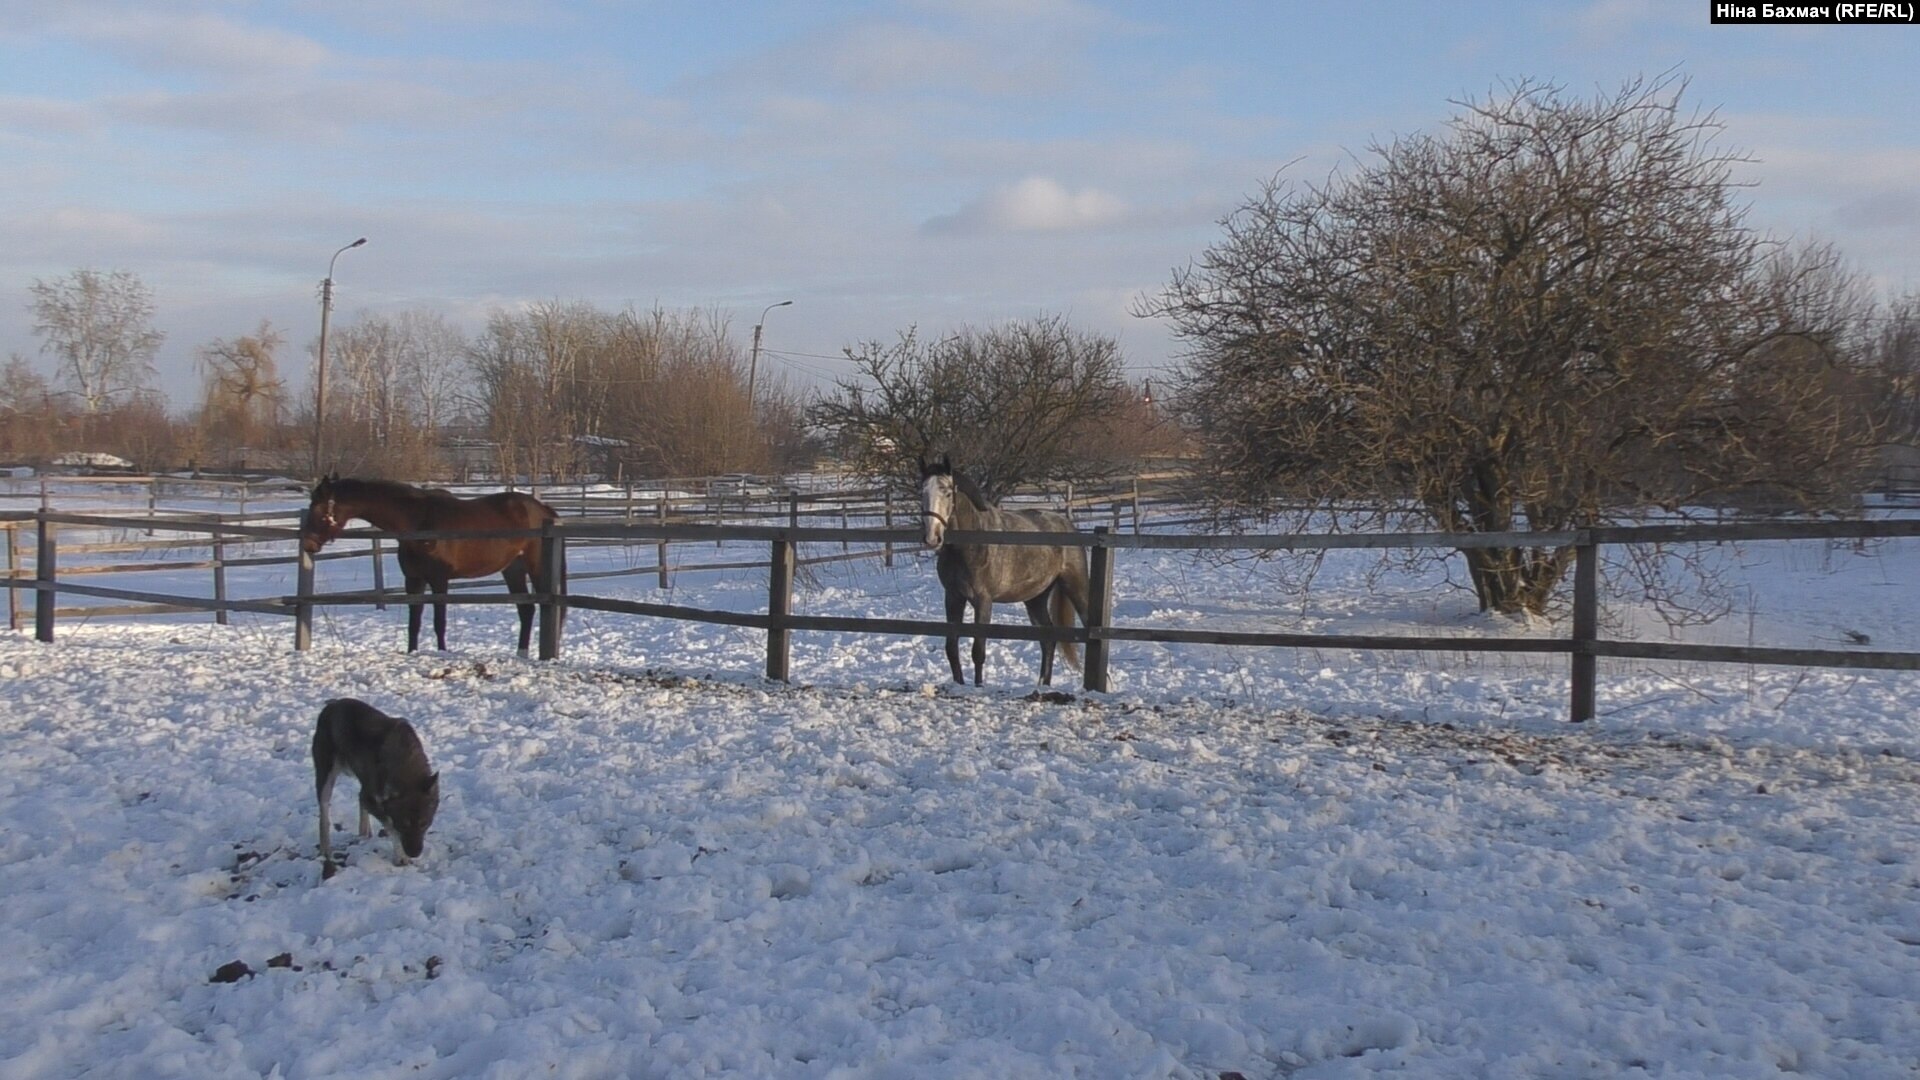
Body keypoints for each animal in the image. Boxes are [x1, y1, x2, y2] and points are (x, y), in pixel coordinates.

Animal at [295, 474, 560, 653]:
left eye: (317, 508)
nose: (307, 544)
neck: (418, 522)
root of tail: (541, 509)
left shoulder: (439, 580)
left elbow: (439, 623)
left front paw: (442, 653)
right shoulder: (414, 581)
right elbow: (414, 623)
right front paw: (412, 652)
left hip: (536, 568)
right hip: (513, 569)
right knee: (526, 610)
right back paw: (521, 653)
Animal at [311, 699, 439, 876]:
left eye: (424, 824)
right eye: (403, 825)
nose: (415, 853)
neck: (404, 762)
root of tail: (332, 704)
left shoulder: (371, 796)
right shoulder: (371, 798)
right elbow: (390, 826)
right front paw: (401, 857)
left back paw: (365, 834)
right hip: (326, 776)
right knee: (324, 814)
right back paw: (325, 851)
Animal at [917, 453, 1090, 680]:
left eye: (946, 492)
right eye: (922, 492)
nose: (932, 538)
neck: (969, 544)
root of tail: (1068, 525)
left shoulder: (983, 600)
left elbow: (978, 652)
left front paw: (978, 685)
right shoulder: (953, 597)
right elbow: (951, 650)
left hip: (1076, 588)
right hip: (1035, 599)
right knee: (1048, 639)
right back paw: (1042, 683)